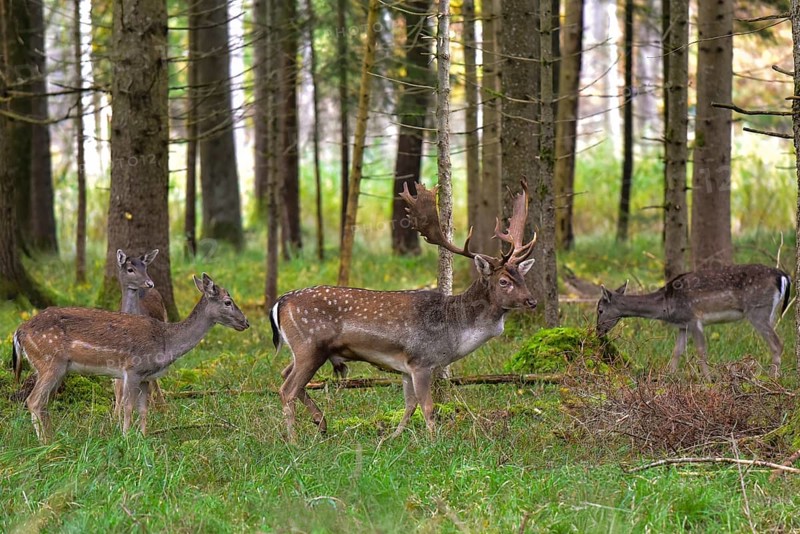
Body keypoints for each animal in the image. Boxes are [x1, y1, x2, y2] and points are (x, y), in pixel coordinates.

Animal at [11, 273, 249, 442]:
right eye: (228, 302)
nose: (245, 322)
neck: (166, 342)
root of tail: (19, 332)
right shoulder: (132, 369)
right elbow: (127, 407)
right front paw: (125, 438)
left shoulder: (146, 376)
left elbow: (143, 409)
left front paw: (143, 438)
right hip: (50, 360)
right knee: (33, 401)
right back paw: (45, 443)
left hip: (56, 367)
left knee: (43, 403)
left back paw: (52, 439)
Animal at [115, 249, 167, 413]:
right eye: (130, 269)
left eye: (145, 268)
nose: (149, 283)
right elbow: (119, 385)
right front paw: (115, 413)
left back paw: (161, 405)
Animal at [271, 182, 537, 440]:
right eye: (503, 281)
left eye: (522, 276)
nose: (532, 301)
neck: (453, 332)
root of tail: (280, 302)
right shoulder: (421, 361)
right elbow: (427, 407)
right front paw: (434, 444)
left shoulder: (406, 368)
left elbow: (410, 405)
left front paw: (392, 438)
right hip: (310, 345)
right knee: (287, 389)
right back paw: (294, 441)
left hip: (306, 349)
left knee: (285, 374)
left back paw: (321, 422)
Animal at [596, 264, 791, 378]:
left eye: (600, 310)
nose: (597, 331)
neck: (667, 305)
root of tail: (783, 275)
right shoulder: (683, 325)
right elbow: (677, 351)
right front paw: (668, 378)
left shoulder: (694, 318)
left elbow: (701, 351)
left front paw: (708, 380)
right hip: (771, 312)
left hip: (758, 310)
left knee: (777, 343)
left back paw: (772, 380)